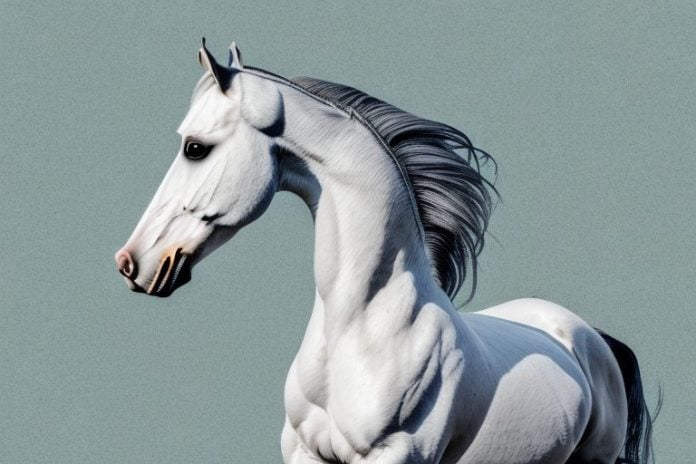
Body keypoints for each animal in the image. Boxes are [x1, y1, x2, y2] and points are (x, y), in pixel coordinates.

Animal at [115, 40, 656, 464]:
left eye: (195, 147)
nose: (131, 262)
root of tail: (591, 338)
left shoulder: (396, 456)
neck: (363, 328)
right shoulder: (304, 455)